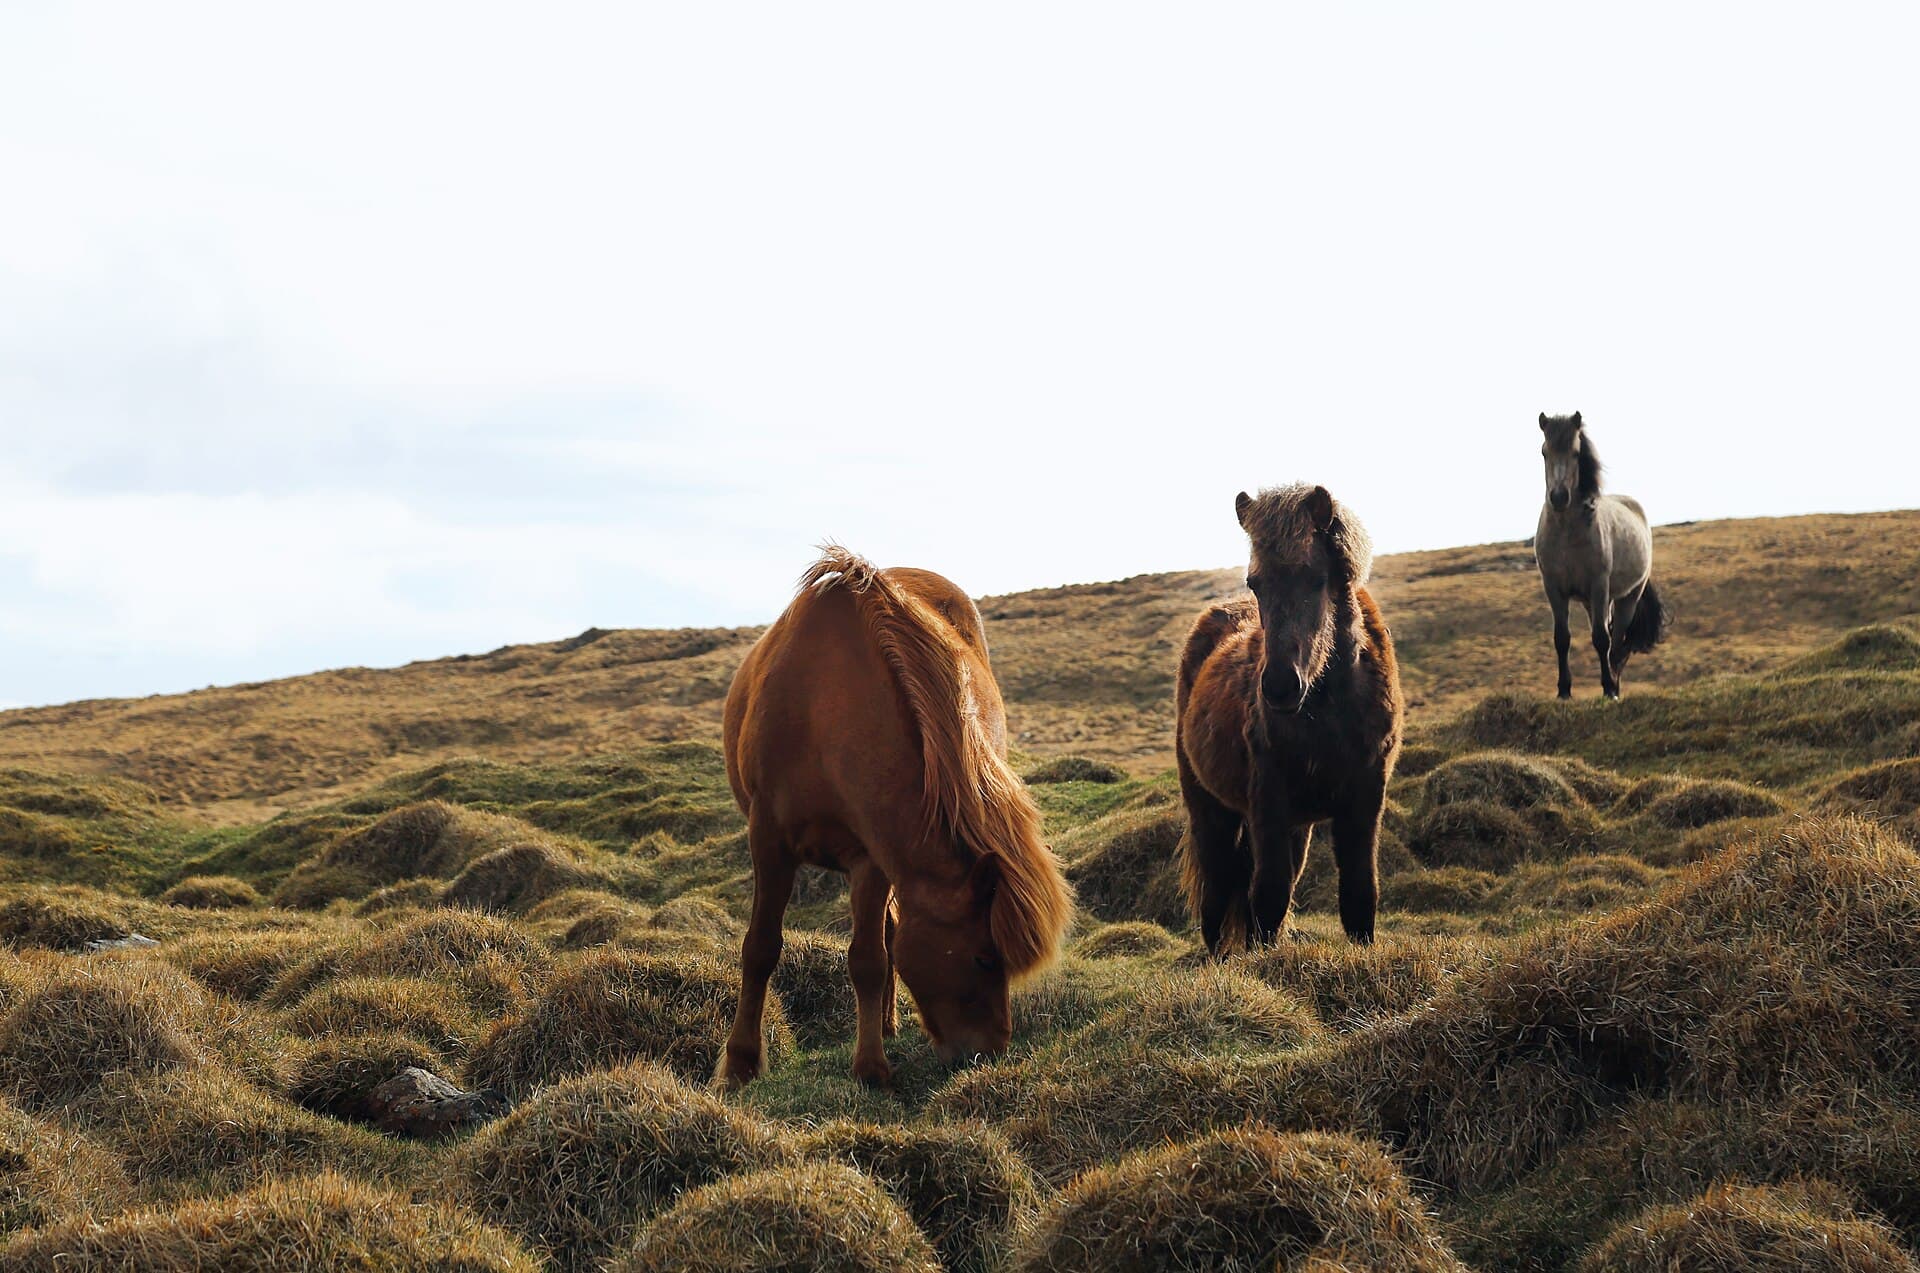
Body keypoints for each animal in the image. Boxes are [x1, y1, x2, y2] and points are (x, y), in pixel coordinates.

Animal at [717, 546, 1072, 1087]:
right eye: (985, 957)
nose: (990, 1051)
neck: (823, 709)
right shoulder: (768, 840)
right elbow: (760, 949)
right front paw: (740, 1062)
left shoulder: (870, 856)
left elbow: (869, 959)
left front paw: (870, 1067)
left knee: (884, 936)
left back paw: (884, 1026)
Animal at [1174, 484, 1403, 954]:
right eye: (1255, 583)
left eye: (1317, 578)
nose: (1279, 686)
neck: (1329, 711)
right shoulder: (1269, 802)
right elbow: (1268, 898)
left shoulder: (1366, 798)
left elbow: (1359, 895)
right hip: (1210, 807)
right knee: (1217, 892)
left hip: (1296, 826)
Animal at [1534, 412, 1670, 699]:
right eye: (1544, 452)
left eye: (1576, 453)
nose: (1559, 497)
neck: (1567, 534)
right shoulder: (1553, 588)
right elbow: (1562, 638)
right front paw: (1564, 691)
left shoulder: (1599, 585)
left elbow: (1601, 639)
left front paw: (1608, 688)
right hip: (1593, 602)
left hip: (1626, 598)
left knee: (1616, 643)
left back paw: (1615, 686)